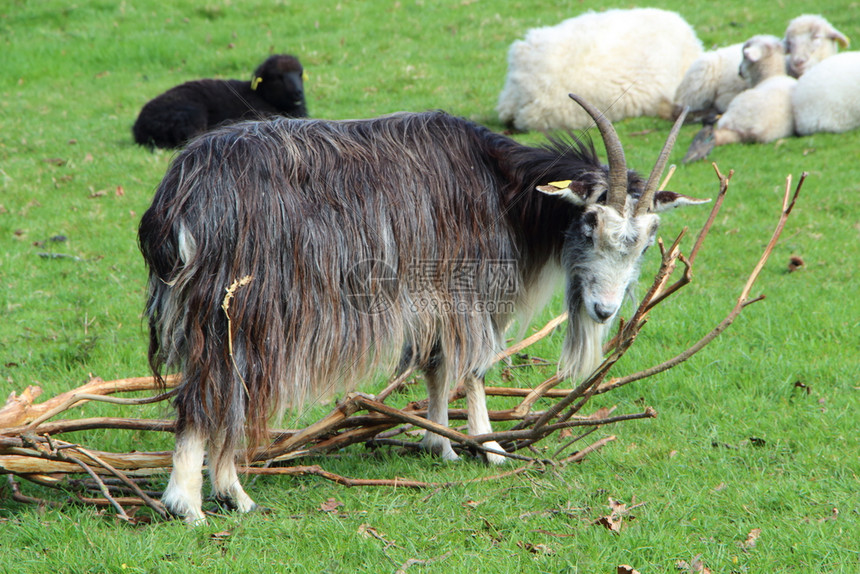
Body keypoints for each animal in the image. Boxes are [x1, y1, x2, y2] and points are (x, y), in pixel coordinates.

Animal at [133, 53, 308, 151]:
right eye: (278, 77)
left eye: (300, 74)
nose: (298, 93)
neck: (262, 95)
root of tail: (138, 128)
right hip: (191, 114)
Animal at [139, 97, 704, 524]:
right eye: (590, 221)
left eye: (649, 238)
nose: (605, 310)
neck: (500, 185)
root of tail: (180, 197)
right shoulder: (468, 286)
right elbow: (474, 368)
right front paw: (489, 449)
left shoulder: (428, 297)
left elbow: (435, 366)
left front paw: (441, 444)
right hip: (246, 307)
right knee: (212, 391)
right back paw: (196, 502)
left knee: (224, 391)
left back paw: (225, 493)